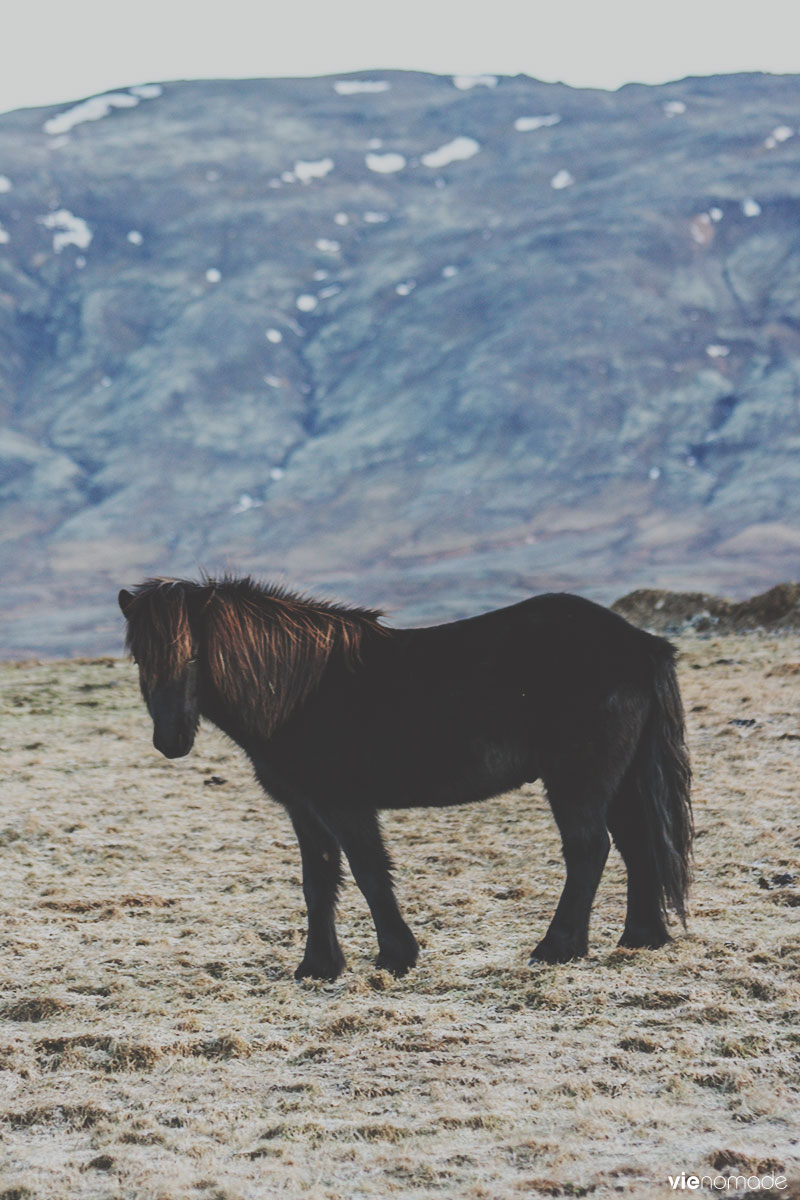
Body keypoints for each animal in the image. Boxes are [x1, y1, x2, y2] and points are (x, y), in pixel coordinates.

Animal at [118, 576, 695, 979]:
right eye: (140, 660)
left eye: (193, 654)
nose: (171, 741)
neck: (296, 691)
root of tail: (641, 643)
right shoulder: (304, 808)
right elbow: (318, 881)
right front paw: (318, 966)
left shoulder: (345, 806)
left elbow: (370, 873)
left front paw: (396, 955)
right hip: (620, 782)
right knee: (637, 845)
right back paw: (641, 938)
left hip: (578, 781)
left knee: (588, 850)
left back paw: (557, 949)